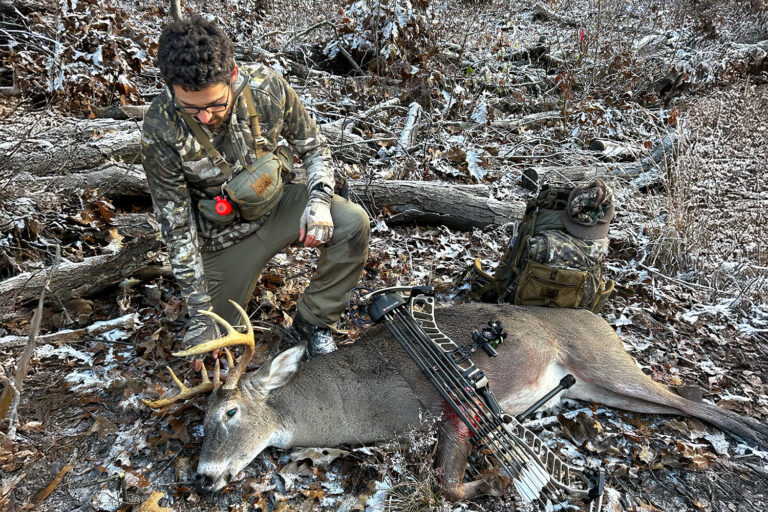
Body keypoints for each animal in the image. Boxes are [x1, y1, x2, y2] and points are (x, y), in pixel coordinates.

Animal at [144, 299, 768, 501]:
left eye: (229, 413)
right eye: (198, 424)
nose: (203, 477)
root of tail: (602, 318)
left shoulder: (447, 411)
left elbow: (445, 482)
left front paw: (494, 482)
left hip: (604, 363)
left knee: (692, 402)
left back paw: (753, 432)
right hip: (601, 386)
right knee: (676, 403)